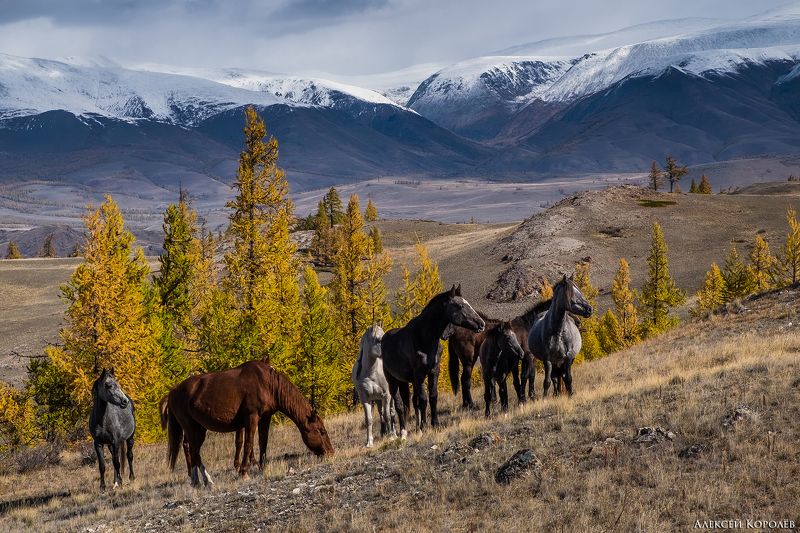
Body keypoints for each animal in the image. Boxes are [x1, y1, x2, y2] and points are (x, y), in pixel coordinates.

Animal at [162, 360, 334, 485]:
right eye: (321, 431)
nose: (331, 452)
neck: (267, 383)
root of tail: (173, 392)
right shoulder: (252, 418)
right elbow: (248, 443)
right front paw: (244, 472)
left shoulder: (265, 418)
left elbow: (263, 442)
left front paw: (262, 467)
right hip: (191, 428)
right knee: (194, 451)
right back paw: (206, 480)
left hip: (198, 429)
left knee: (193, 450)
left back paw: (196, 480)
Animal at [382, 284, 485, 437]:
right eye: (460, 305)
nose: (481, 324)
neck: (424, 338)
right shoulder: (419, 375)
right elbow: (423, 399)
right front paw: (424, 427)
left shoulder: (434, 371)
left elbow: (433, 396)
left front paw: (435, 423)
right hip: (392, 381)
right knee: (399, 405)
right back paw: (402, 431)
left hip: (406, 381)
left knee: (409, 403)